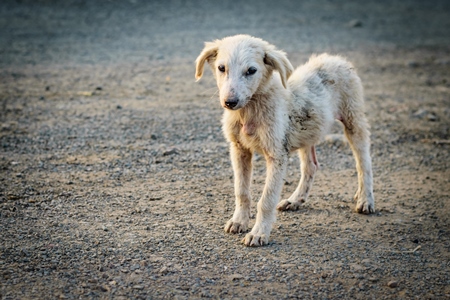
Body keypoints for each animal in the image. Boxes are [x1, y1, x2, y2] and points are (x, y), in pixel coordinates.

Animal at [195, 34, 374, 246]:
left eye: (251, 71)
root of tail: (336, 59)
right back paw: (295, 200)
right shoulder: (239, 150)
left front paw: (258, 233)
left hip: (353, 120)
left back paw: (365, 199)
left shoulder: (277, 155)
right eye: (222, 68)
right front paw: (239, 221)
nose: (230, 102)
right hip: (308, 132)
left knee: (364, 163)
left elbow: (266, 199)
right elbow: (241, 191)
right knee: (311, 166)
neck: (249, 111)